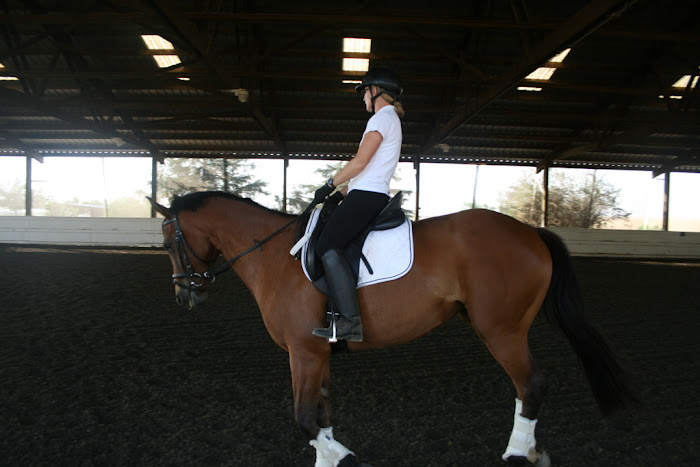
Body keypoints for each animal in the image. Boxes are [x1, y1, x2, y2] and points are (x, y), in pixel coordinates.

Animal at [146, 192, 636, 466]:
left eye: (169, 242)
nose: (185, 295)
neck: (275, 254)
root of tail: (532, 232)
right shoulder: (319, 353)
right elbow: (322, 413)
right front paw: (330, 458)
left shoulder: (303, 352)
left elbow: (303, 418)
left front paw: (342, 458)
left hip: (503, 330)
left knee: (531, 385)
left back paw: (518, 455)